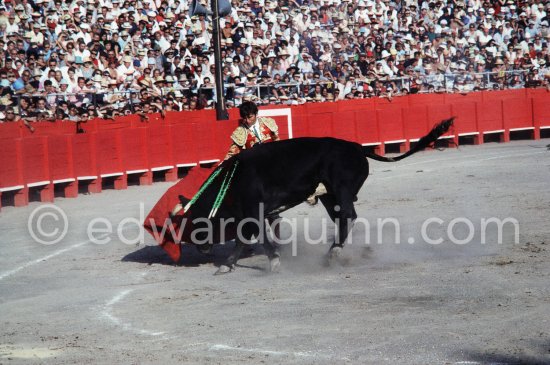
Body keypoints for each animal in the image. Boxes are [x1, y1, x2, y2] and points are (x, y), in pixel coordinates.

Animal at [160, 117, 452, 272]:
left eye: (198, 222)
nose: (202, 248)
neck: (233, 180)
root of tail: (357, 147)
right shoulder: (250, 214)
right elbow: (245, 238)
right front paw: (229, 264)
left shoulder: (254, 212)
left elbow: (255, 237)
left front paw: (272, 261)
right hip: (328, 196)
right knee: (343, 218)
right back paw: (334, 253)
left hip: (341, 189)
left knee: (348, 215)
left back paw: (333, 253)